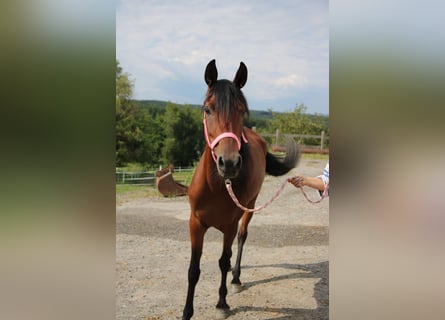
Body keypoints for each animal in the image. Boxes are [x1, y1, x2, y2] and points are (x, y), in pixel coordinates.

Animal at [182, 60, 300, 320]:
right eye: (207, 109)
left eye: (241, 111)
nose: (229, 163)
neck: (217, 187)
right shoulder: (195, 223)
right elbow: (193, 270)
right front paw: (186, 312)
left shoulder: (229, 226)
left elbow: (223, 262)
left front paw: (221, 303)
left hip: (250, 207)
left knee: (242, 238)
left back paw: (236, 278)